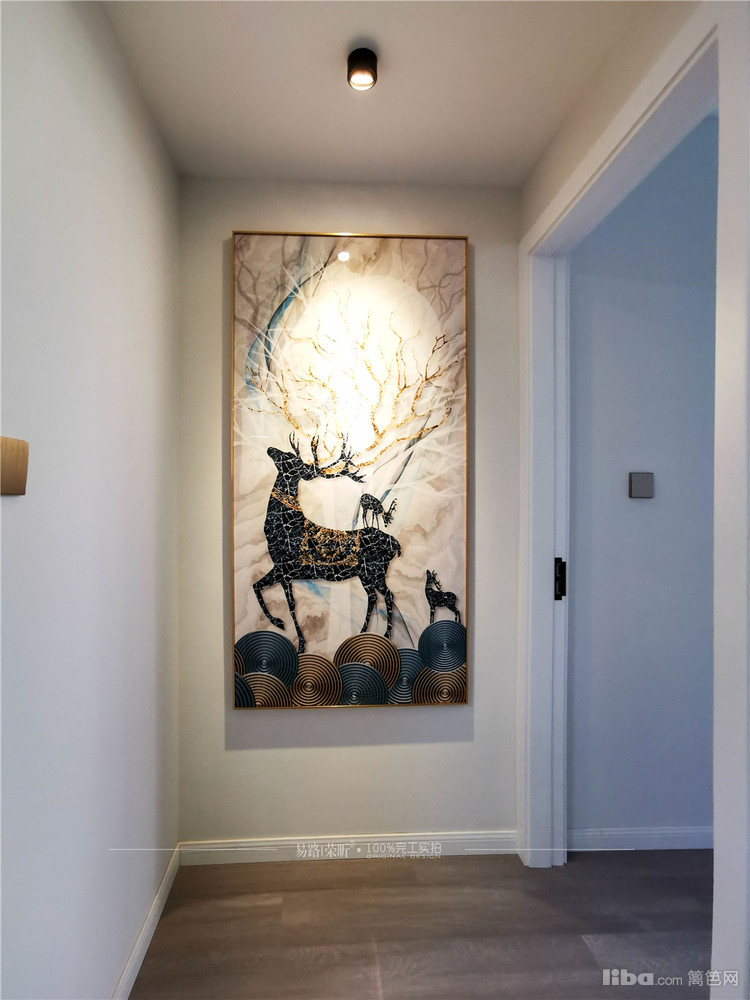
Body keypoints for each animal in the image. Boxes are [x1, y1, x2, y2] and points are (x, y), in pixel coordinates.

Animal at [253, 435, 402, 652]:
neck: (279, 529)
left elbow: (266, 592)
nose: (270, 448)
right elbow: (285, 602)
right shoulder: (285, 572)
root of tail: (396, 545)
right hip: (365, 574)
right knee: (373, 597)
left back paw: (387, 635)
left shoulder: (283, 567)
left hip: (376, 570)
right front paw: (293, 636)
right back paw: (361, 633)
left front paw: (284, 628)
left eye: (289, 458)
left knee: (389, 595)